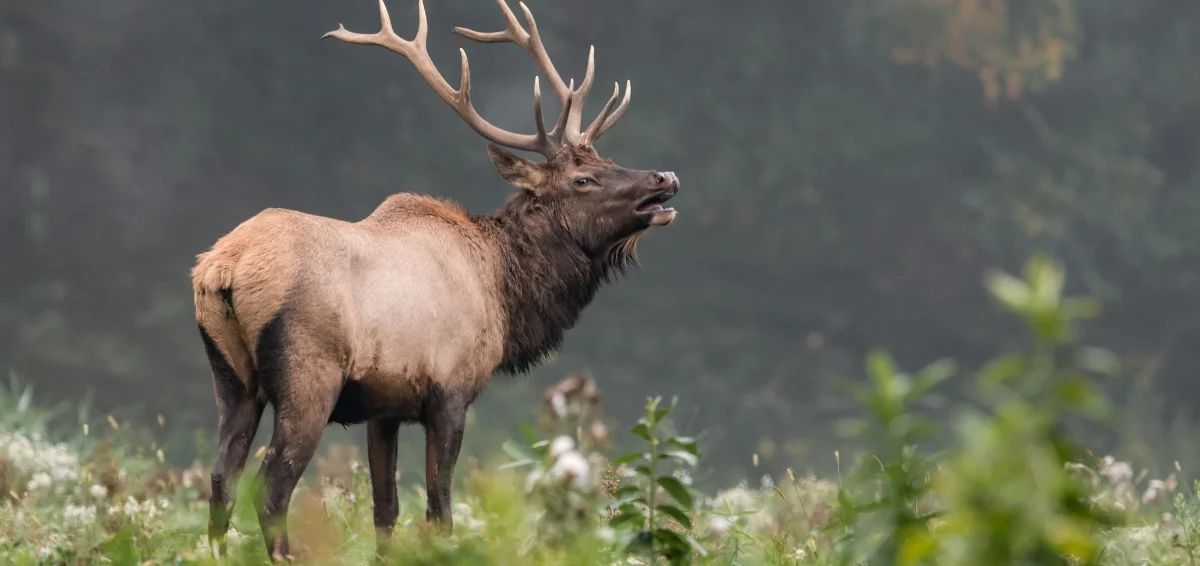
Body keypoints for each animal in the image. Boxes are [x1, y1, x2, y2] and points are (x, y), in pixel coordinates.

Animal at [187, 0, 676, 558]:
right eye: (583, 178)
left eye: (606, 159)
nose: (664, 177)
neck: (505, 295)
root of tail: (222, 268)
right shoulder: (450, 390)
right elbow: (440, 509)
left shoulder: (383, 407)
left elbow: (385, 511)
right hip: (307, 374)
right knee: (270, 488)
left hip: (232, 378)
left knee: (221, 480)